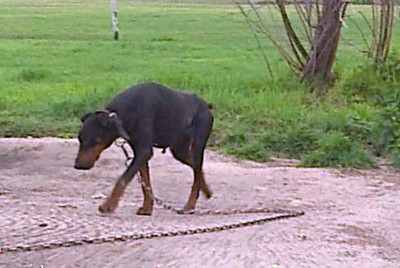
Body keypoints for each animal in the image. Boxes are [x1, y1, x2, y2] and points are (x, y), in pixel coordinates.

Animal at [73, 82, 214, 216]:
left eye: (95, 141)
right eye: (80, 139)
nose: (78, 165)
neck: (120, 115)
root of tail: (206, 106)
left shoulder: (143, 152)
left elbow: (122, 179)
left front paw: (108, 205)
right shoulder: (140, 152)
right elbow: (145, 184)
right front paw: (147, 208)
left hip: (197, 145)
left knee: (196, 175)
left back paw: (189, 206)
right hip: (179, 149)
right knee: (196, 167)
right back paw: (206, 190)